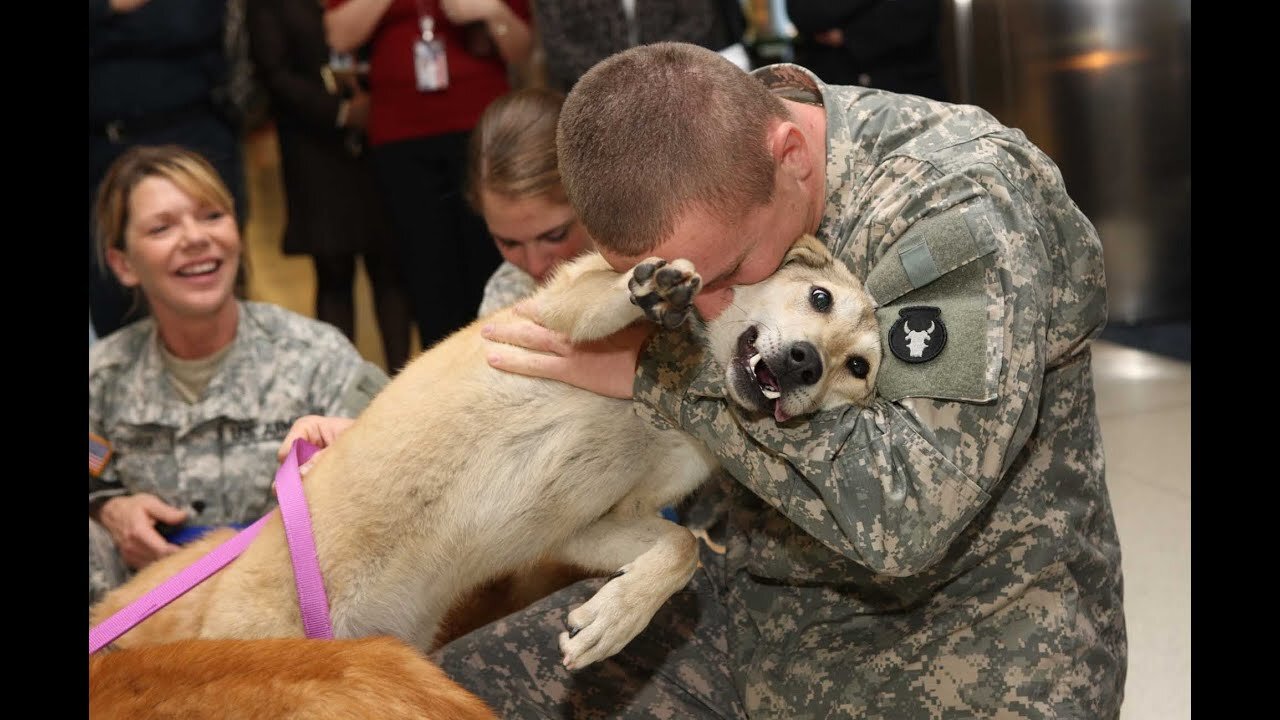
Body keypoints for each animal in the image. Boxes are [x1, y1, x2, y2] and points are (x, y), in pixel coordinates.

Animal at [92, 233, 880, 671]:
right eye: (817, 297)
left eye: (860, 368)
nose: (807, 363)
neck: (670, 405)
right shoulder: (550, 317)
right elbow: (601, 298)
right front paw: (651, 291)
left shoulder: (584, 528)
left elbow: (679, 549)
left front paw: (614, 619)